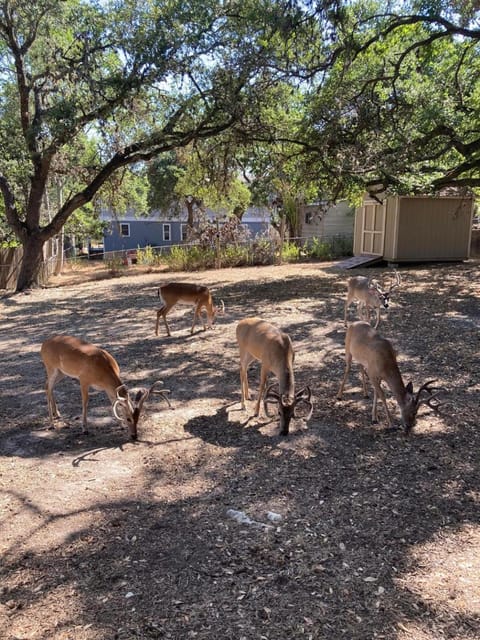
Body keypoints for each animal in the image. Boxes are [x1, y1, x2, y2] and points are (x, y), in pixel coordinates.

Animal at [39, 336, 171, 440]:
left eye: (137, 418)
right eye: (128, 419)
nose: (134, 436)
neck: (103, 370)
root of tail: (43, 344)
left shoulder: (107, 388)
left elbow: (113, 403)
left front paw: (121, 425)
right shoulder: (83, 379)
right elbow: (85, 403)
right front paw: (85, 429)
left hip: (61, 372)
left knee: (49, 386)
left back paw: (57, 414)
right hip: (50, 367)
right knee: (47, 386)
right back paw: (51, 424)